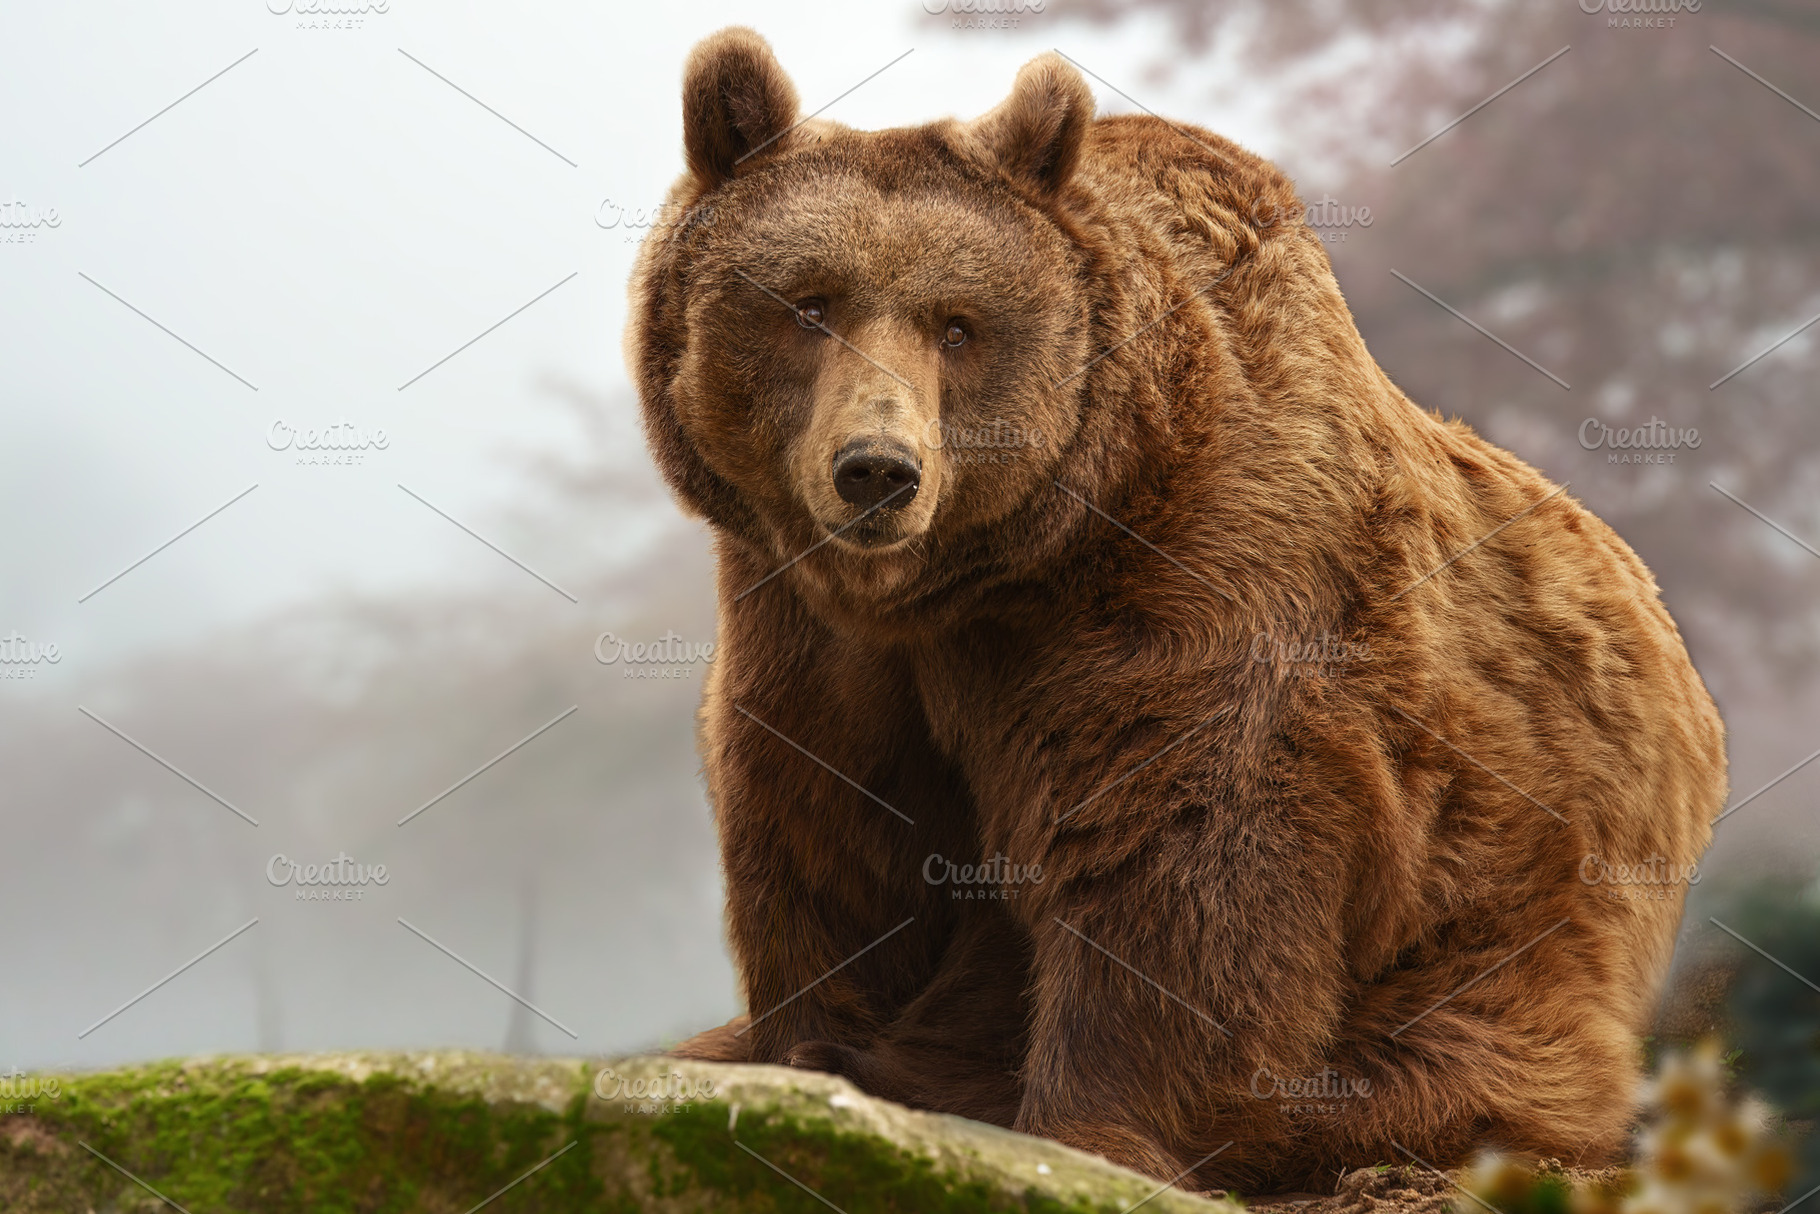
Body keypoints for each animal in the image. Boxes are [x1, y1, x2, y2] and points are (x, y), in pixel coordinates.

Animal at [625, 26, 1726, 1195]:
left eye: (958, 324)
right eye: (809, 304)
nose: (876, 470)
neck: (996, 565)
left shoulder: (1193, 576)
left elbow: (1183, 843)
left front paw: (1092, 1123)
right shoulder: (805, 625)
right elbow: (830, 821)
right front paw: (810, 1046)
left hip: (1510, 915)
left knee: (1470, 1057)